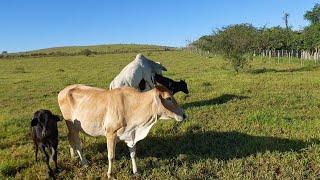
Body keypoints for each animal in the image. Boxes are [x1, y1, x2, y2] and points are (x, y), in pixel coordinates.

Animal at [57, 84, 185, 177]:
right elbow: (111, 156)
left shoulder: (131, 135)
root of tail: (63, 91)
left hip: (73, 127)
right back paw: (84, 163)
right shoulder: (110, 134)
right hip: (71, 125)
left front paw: (135, 171)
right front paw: (109, 173)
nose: (184, 115)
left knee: (70, 138)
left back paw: (73, 155)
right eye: (168, 98)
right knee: (77, 143)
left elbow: (133, 154)